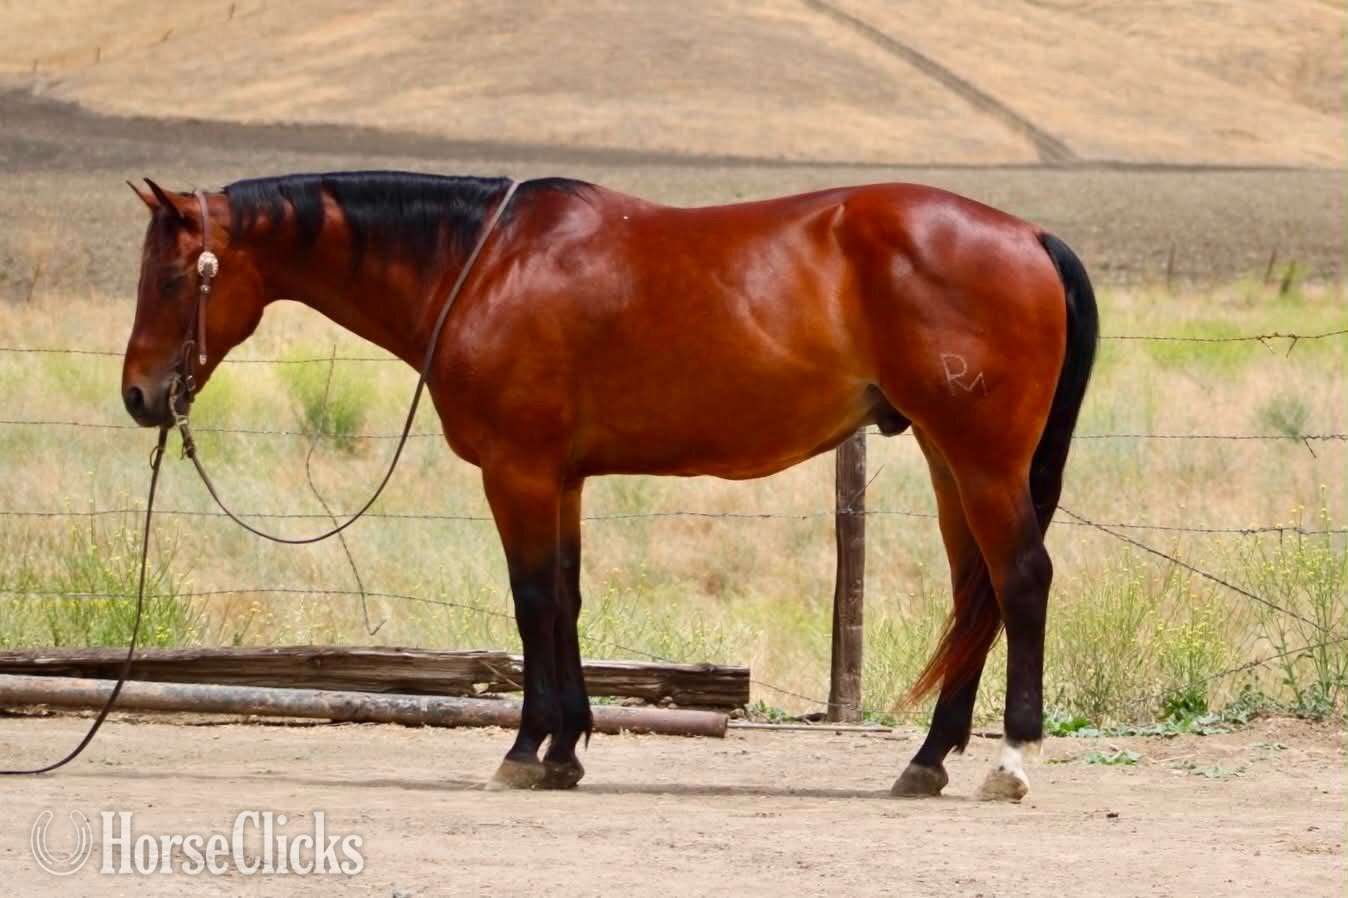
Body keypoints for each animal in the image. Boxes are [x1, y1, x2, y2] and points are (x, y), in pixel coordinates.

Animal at [122, 171, 1097, 800]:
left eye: (170, 277)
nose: (139, 396)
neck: (484, 264)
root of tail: (1029, 236)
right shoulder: (563, 480)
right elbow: (566, 598)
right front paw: (565, 748)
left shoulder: (516, 472)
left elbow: (530, 602)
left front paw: (525, 749)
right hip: (946, 458)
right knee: (974, 596)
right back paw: (928, 761)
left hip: (982, 460)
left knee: (1020, 583)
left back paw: (1009, 762)